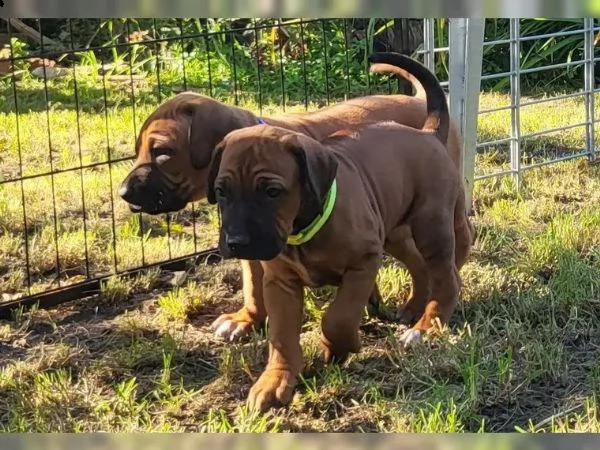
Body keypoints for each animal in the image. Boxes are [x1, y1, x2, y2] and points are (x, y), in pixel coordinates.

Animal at [117, 51, 464, 342]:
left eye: (163, 152)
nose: (123, 193)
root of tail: (423, 107)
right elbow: (253, 285)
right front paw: (247, 319)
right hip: (395, 223)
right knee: (418, 261)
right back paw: (413, 306)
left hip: (433, 212)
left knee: (454, 243)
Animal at [209, 55, 472, 412]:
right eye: (221, 191)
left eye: (273, 192)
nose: (237, 243)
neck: (303, 229)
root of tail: (427, 134)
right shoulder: (280, 284)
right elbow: (282, 337)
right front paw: (276, 381)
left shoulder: (363, 263)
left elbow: (339, 317)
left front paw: (339, 347)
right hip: (395, 227)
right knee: (421, 267)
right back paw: (412, 309)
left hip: (431, 224)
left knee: (446, 277)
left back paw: (425, 327)